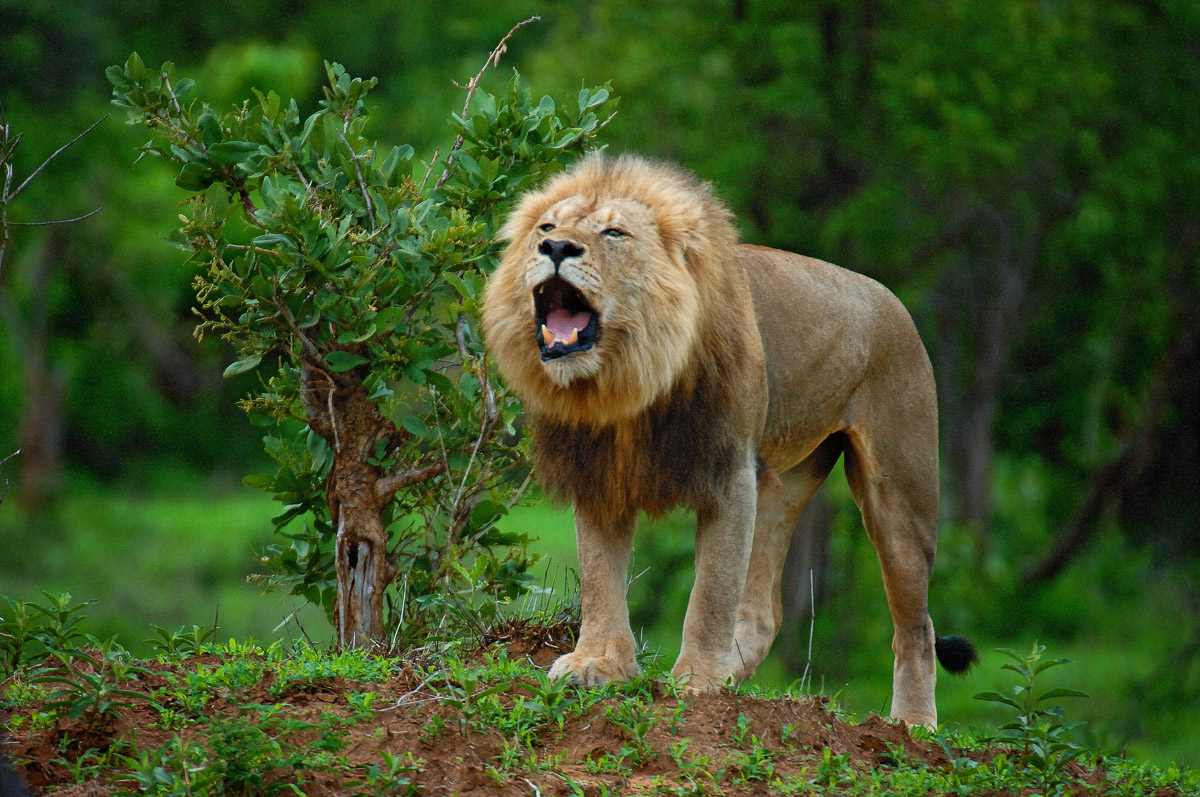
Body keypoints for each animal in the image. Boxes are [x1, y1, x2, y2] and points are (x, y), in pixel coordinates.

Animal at [481, 154, 976, 728]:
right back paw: (736, 678)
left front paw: (698, 682)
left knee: (916, 625)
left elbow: (711, 591)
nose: (557, 249)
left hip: (900, 489)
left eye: (613, 233)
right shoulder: (600, 475)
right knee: (764, 611)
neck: (628, 384)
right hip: (782, 481)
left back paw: (911, 724)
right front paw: (598, 664)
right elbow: (601, 578)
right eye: (546, 228)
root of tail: (891, 298)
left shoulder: (728, 474)